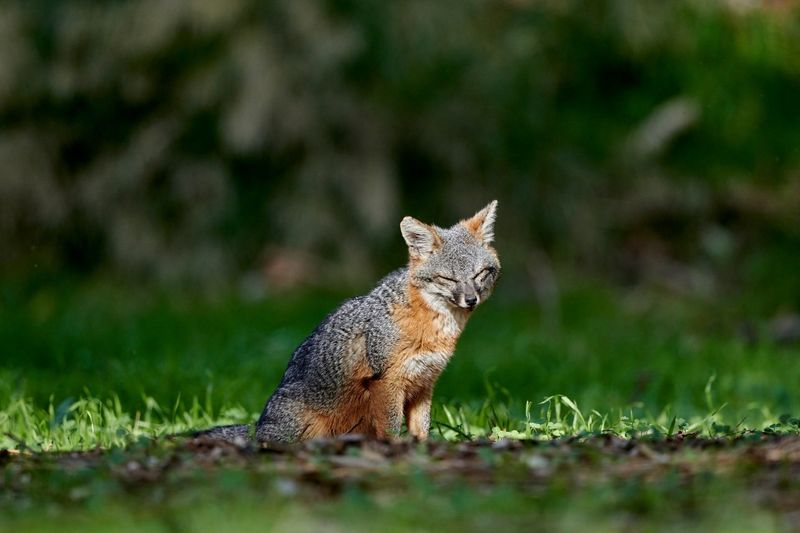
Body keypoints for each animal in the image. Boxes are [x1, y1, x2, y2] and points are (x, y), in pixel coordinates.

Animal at [198, 200, 500, 440]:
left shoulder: (424, 384)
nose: (471, 299)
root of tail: (258, 426)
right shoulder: (387, 381)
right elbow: (392, 429)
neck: (432, 326)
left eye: (480, 274)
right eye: (448, 279)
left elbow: (421, 431)